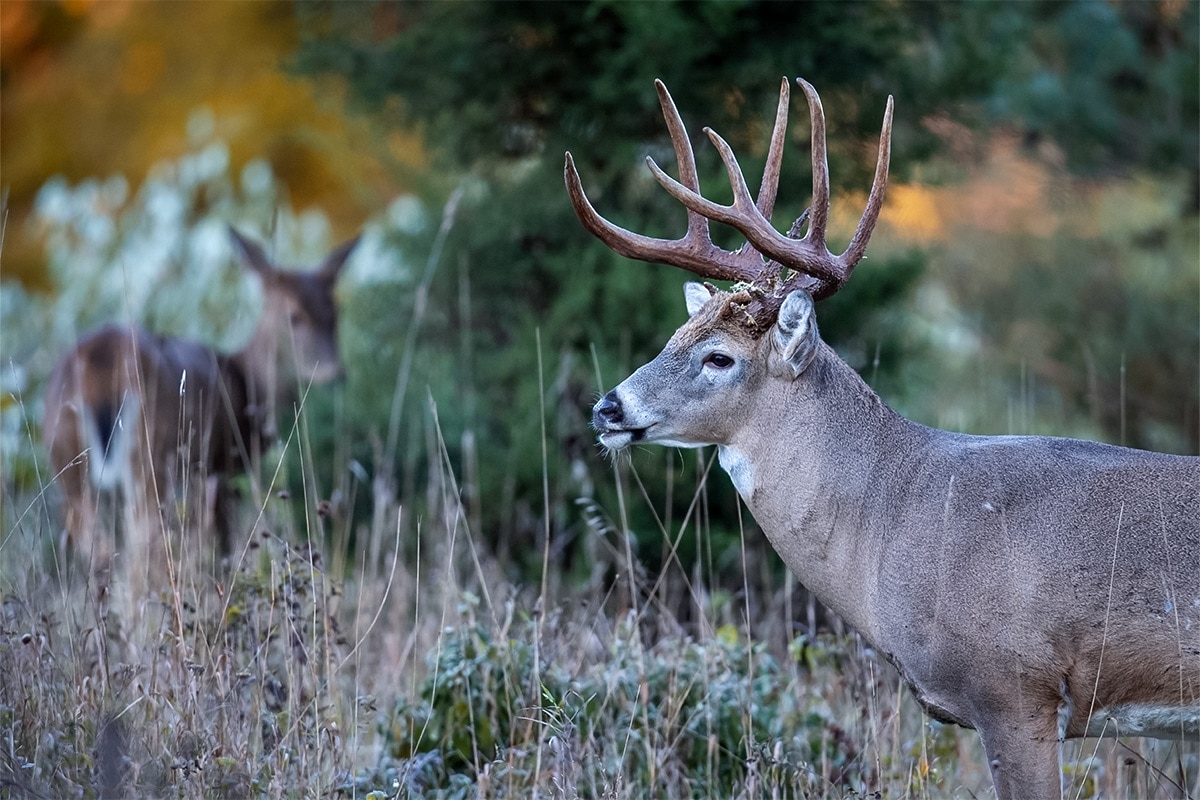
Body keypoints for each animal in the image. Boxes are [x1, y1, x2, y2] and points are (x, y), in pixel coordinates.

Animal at [46, 227, 355, 573]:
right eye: (294, 316)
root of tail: (100, 361)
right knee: (143, 541)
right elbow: (222, 539)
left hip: (65, 458)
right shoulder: (226, 466)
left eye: (336, 313)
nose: (335, 375)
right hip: (154, 453)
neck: (247, 381)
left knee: (95, 540)